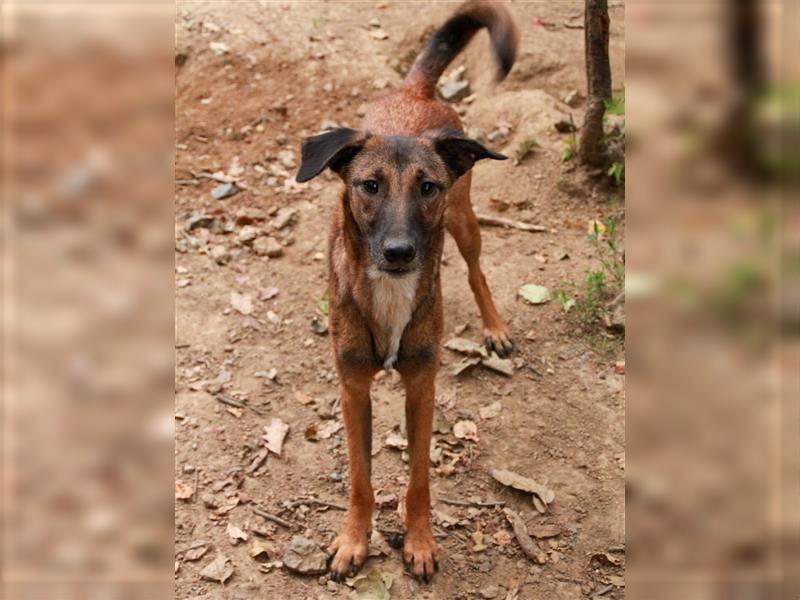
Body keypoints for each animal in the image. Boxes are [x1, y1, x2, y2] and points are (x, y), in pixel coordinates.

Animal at [296, 0, 520, 580]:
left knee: (476, 271)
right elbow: (360, 477)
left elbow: (419, 479)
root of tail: (414, 93)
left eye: (427, 187)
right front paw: (354, 540)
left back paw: (495, 328)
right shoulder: (353, 388)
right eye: (369, 186)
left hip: (464, 221)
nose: (399, 252)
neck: (390, 292)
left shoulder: (422, 385)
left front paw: (418, 542)